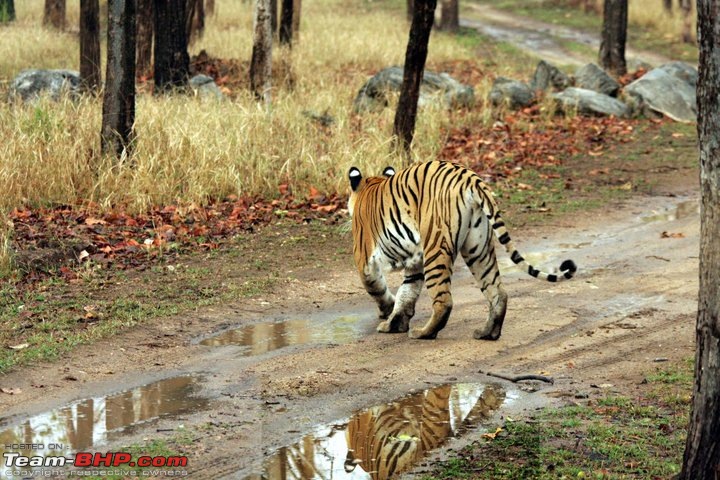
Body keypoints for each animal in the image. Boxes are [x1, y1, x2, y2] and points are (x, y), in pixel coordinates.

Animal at [346, 161, 576, 342]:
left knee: (444, 301)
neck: (368, 186)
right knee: (497, 291)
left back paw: (424, 333)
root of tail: (470, 178)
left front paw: (388, 312)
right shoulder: (415, 263)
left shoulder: (364, 259)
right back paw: (487, 332)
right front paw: (395, 323)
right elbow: (407, 292)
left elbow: (378, 288)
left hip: (436, 248)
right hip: (478, 249)